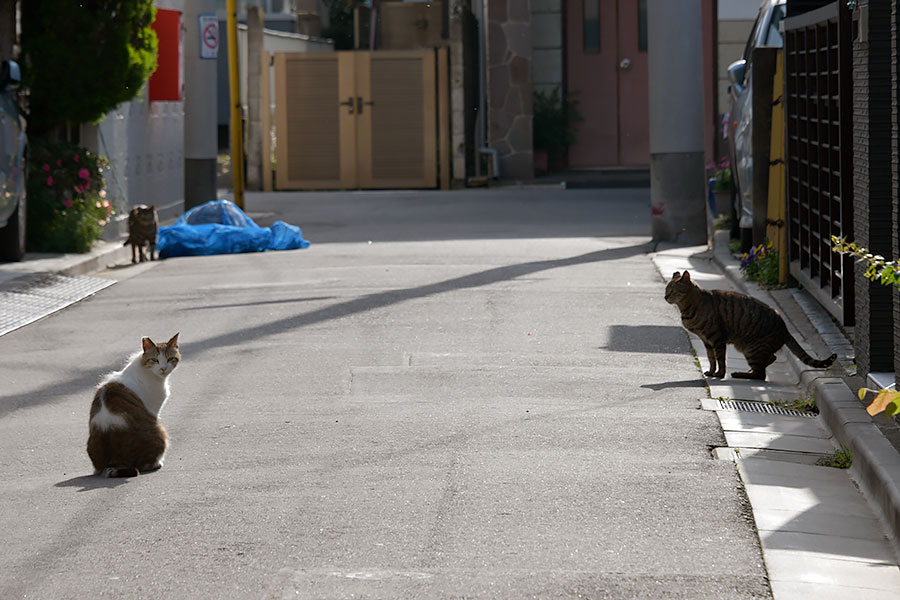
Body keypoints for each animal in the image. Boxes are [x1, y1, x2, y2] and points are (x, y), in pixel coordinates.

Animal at [86, 332, 181, 478]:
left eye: (170, 359)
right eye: (155, 360)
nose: (163, 368)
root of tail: (113, 464)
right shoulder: (154, 410)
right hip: (159, 431)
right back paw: (157, 463)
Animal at [660, 270, 836, 380]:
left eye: (673, 290)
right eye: (666, 289)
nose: (665, 297)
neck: (689, 307)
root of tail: (785, 329)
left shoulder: (717, 338)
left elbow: (720, 359)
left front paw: (719, 374)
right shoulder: (706, 340)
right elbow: (711, 358)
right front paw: (711, 371)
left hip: (752, 348)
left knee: (761, 374)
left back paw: (740, 374)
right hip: (749, 348)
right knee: (769, 360)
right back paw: (748, 370)